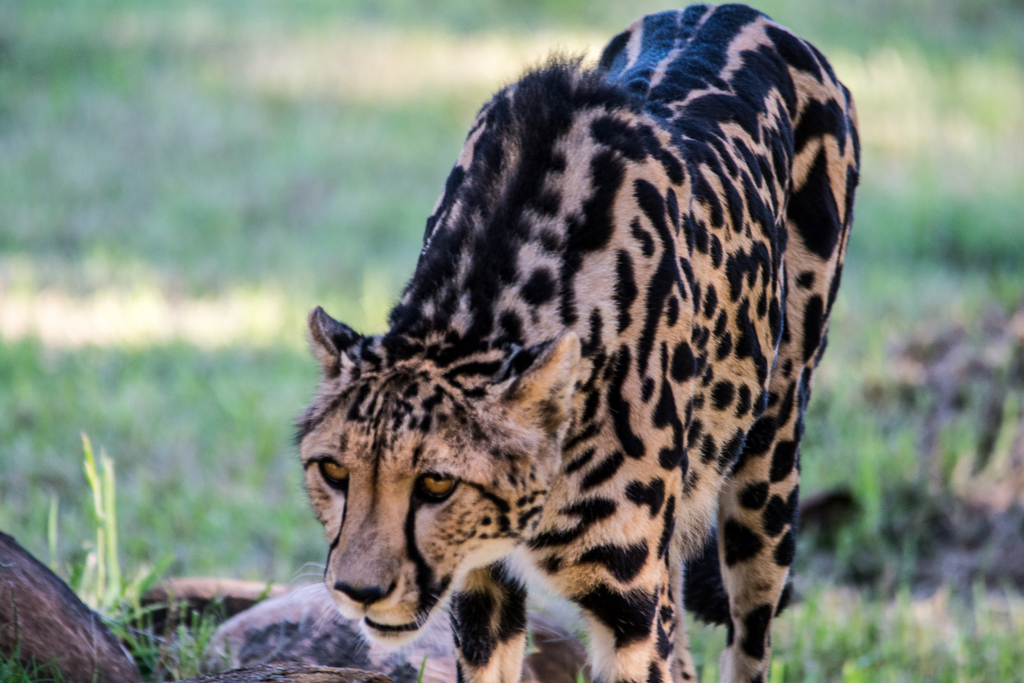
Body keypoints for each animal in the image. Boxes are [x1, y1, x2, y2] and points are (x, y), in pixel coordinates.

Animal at [296, 4, 859, 682]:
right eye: (333, 471)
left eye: (436, 484)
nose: (359, 592)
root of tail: (742, 11)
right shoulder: (484, 587)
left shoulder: (632, 606)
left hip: (768, 471)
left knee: (749, 640)